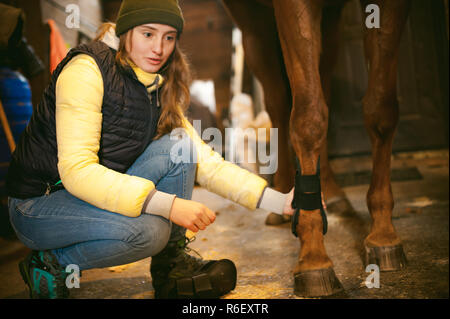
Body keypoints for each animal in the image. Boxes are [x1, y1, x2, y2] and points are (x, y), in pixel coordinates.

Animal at [221, 0, 412, 298]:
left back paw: (331, 193)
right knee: (277, 102)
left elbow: (381, 109)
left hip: (330, 23)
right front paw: (314, 259)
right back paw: (282, 196)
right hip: (253, 27)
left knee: (323, 84)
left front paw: (383, 235)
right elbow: (308, 119)